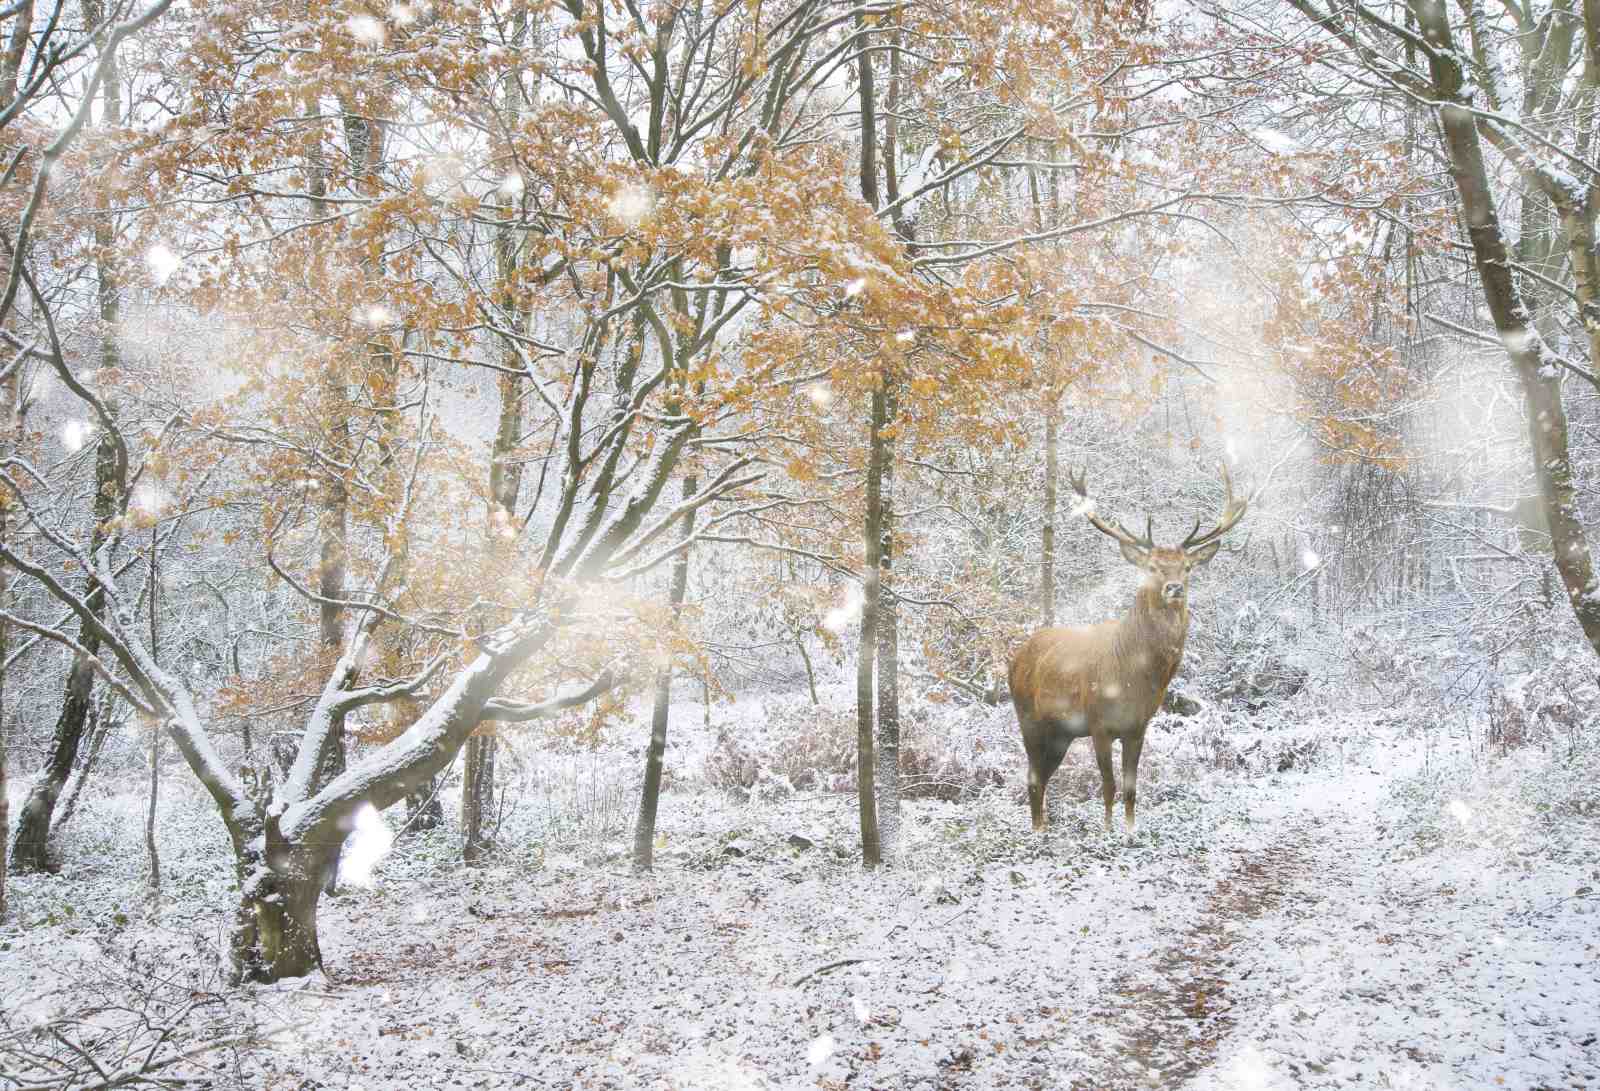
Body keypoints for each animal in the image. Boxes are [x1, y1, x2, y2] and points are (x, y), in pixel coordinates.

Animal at [1010, 464, 1247, 835]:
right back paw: (1037, 832)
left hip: (1061, 732)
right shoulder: (1098, 722)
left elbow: (1132, 787)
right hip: (1027, 717)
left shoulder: (1138, 725)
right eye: (1151, 567)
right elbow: (1108, 785)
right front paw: (1107, 832)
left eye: (1187, 567)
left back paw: (1043, 828)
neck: (1134, 674)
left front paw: (1130, 830)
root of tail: (1014, 657)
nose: (1174, 587)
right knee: (1033, 777)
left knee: (1043, 777)